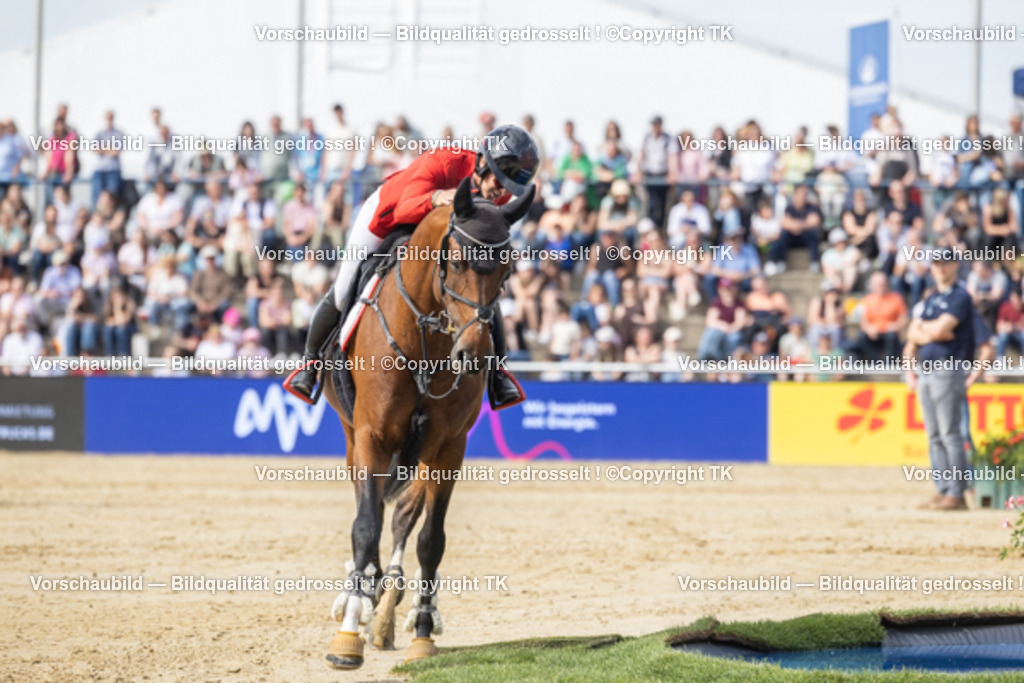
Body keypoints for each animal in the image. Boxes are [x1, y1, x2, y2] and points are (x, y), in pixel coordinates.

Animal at [320, 177, 535, 669]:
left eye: (506, 272)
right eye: (455, 262)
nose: (472, 355)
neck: (427, 339)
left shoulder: (447, 447)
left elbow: (429, 538)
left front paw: (421, 631)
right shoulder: (372, 437)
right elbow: (365, 526)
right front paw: (347, 637)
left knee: (401, 515)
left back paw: (389, 605)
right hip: (353, 436)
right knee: (370, 510)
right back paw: (362, 595)